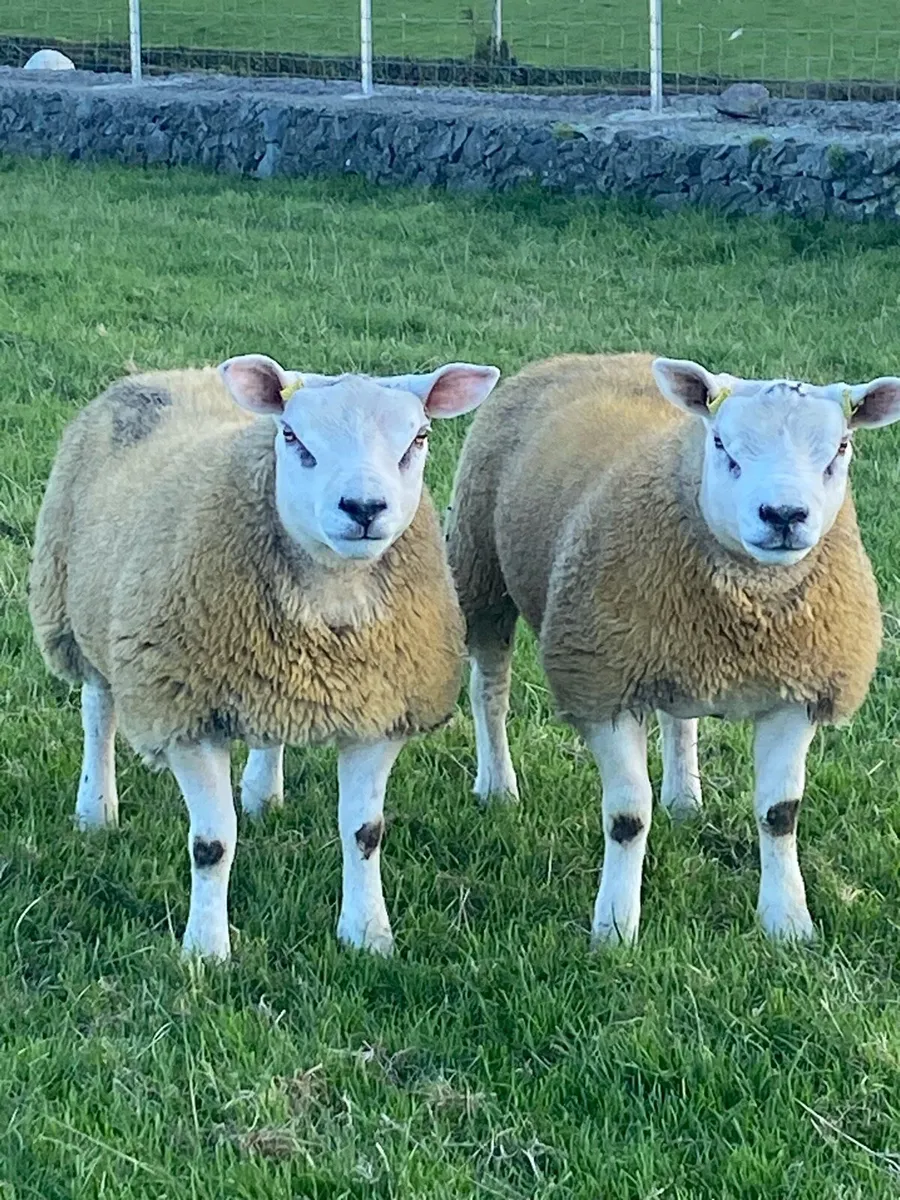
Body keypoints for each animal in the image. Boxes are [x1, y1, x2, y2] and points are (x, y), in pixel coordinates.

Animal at [29, 354, 500, 960]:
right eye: (293, 436)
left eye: (418, 437)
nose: (363, 508)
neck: (332, 600)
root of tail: (174, 371)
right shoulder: (187, 714)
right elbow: (211, 844)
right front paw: (205, 951)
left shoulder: (379, 711)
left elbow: (365, 833)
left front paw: (367, 936)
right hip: (77, 611)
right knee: (97, 711)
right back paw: (96, 809)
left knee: (266, 728)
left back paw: (261, 794)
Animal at [446, 352, 900, 946]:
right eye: (722, 443)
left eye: (841, 446)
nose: (783, 515)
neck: (749, 617)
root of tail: (589, 356)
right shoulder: (603, 684)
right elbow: (627, 819)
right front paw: (615, 929)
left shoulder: (797, 690)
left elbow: (780, 814)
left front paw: (787, 923)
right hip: (482, 569)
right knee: (490, 691)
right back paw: (498, 785)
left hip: (670, 643)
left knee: (679, 719)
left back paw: (685, 799)